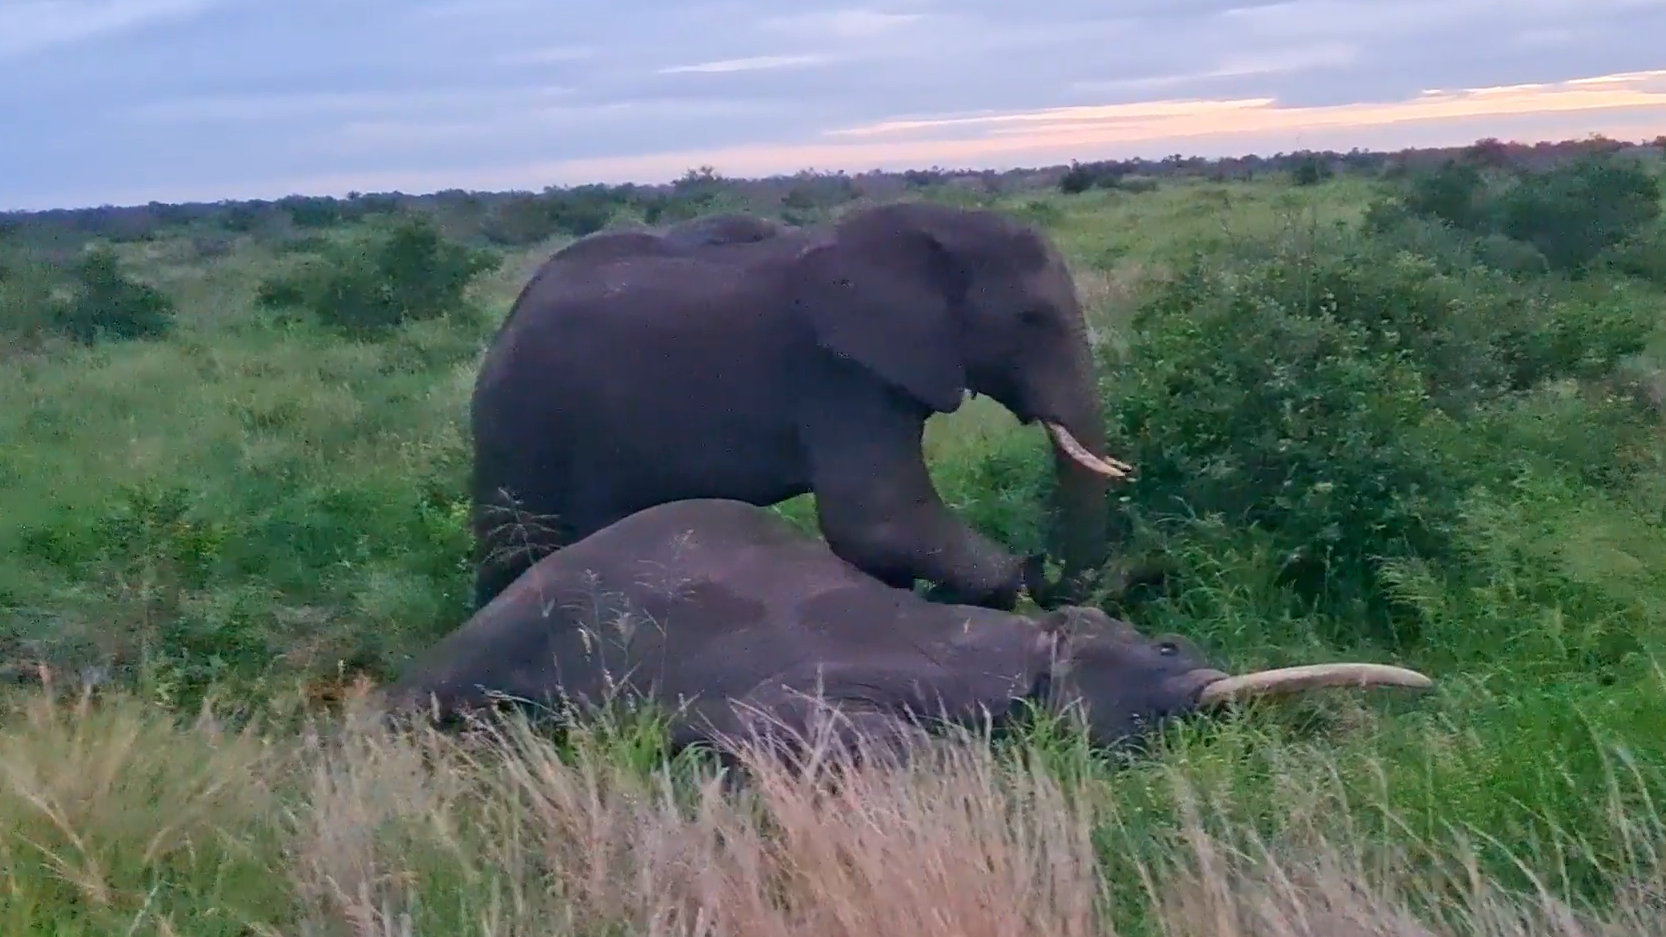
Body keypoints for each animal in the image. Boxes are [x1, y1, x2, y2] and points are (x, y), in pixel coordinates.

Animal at [468, 200, 1135, 616]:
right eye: (1031, 320)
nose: (1056, 579)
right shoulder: (837, 374)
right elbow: (879, 518)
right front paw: (1018, 581)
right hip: (523, 428)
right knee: (517, 552)